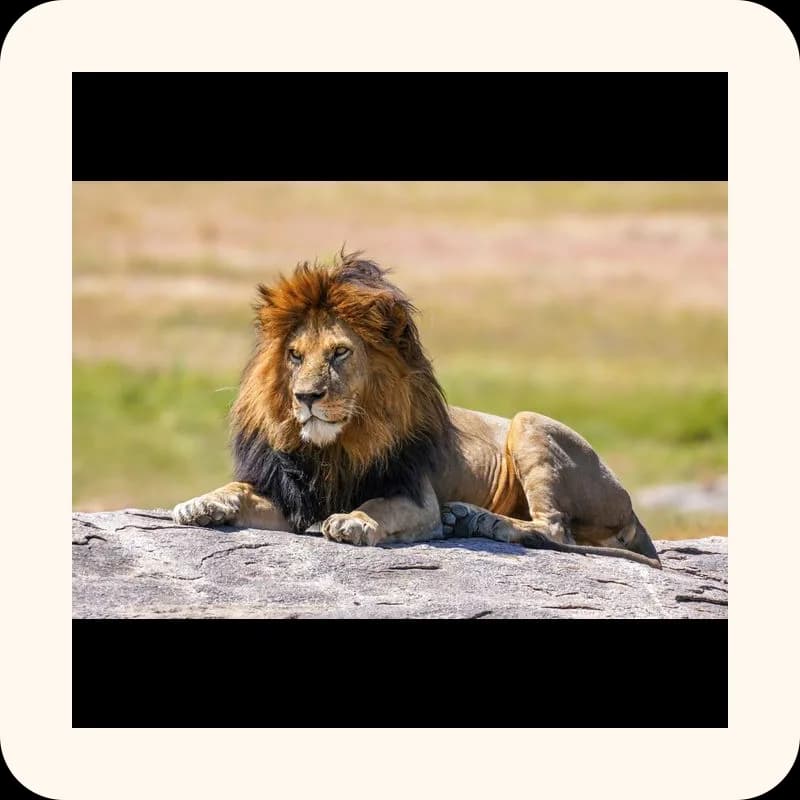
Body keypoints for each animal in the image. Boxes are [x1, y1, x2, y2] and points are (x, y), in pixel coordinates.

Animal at [173, 251, 662, 569]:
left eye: (339, 353)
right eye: (294, 355)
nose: (306, 397)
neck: (336, 447)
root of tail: (630, 506)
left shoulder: (416, 497)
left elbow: (378, 505)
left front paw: (354, 521)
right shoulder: (293, 499)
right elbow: (238, 489)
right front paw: (202, 503)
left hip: (529, 423)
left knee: (554, 529)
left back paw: (475, 519)